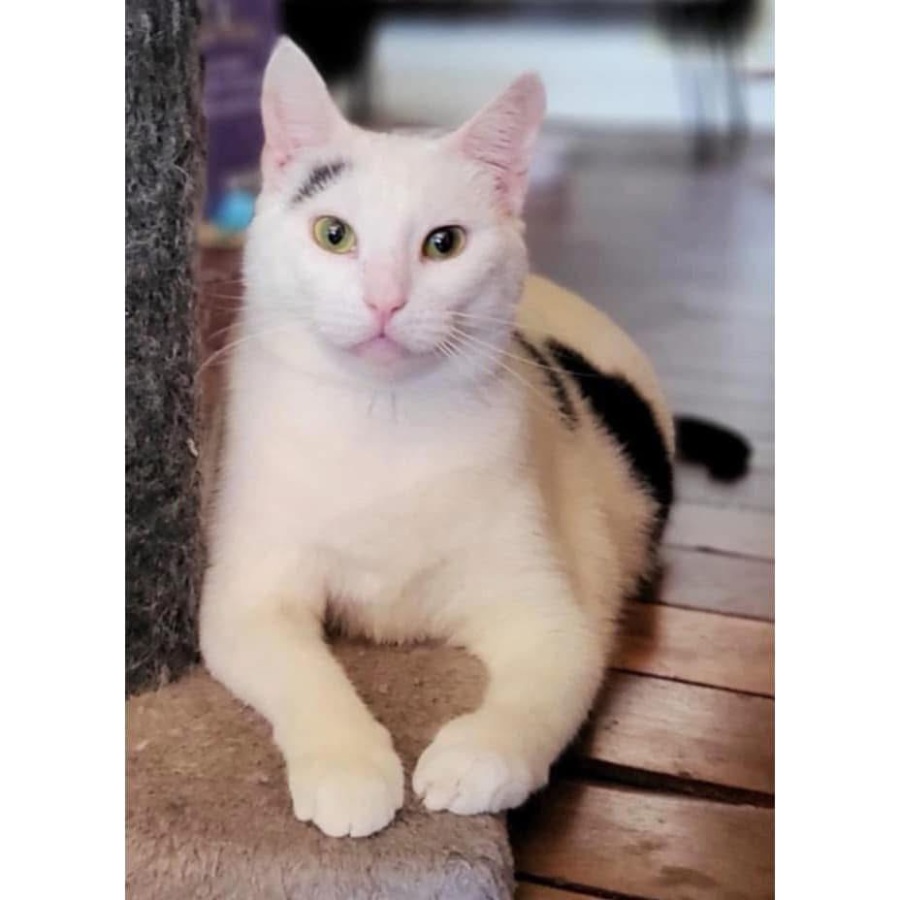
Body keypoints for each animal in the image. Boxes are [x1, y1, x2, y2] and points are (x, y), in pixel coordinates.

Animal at [199, 36, 734, 839]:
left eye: (443, 244)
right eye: (333, 234)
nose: (385, 300)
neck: (381, 425)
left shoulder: (552, 608)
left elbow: (546, 688)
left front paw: (480, 757)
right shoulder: (248, 595)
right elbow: (305, 671)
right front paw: (347, 765)